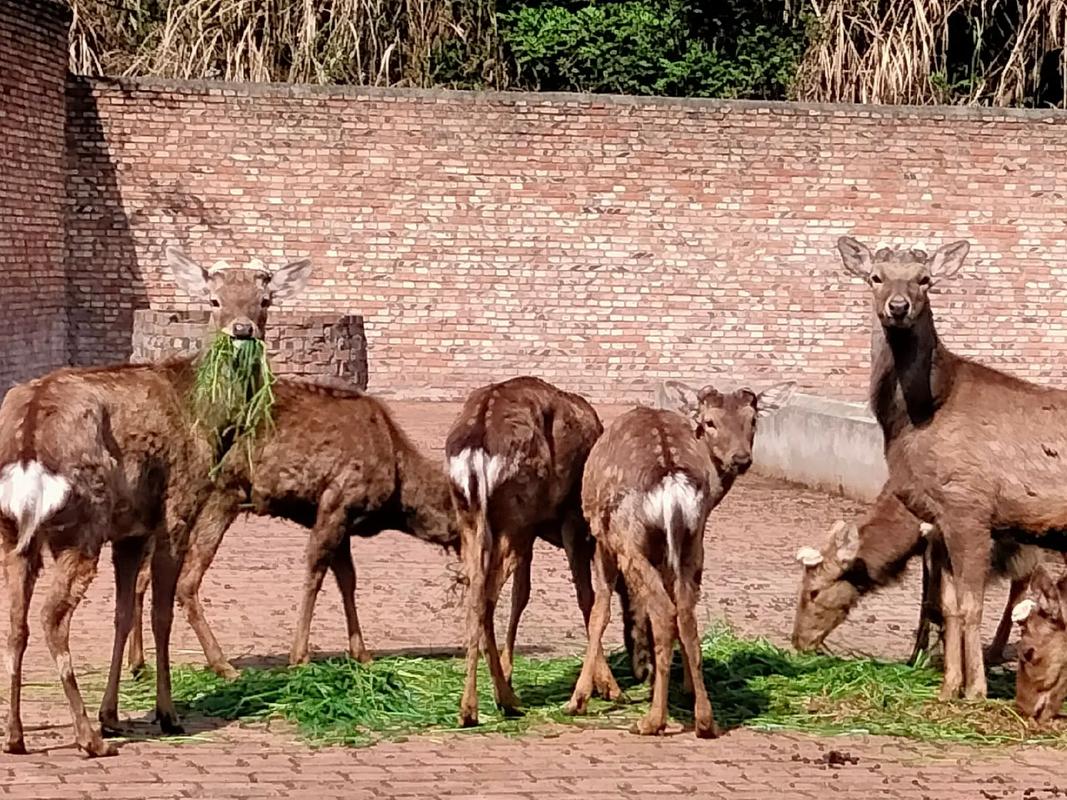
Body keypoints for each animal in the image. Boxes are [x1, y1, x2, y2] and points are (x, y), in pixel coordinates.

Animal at [0, 246, 311, 757]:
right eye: (213, 300)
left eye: (264, 300)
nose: (241, 330)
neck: (207, 413)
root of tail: (28, 438)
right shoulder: (176, 506)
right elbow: (161, 611)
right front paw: (166, 714)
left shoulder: (131, 530)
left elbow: (124, 613)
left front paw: (112, 715)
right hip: (81, 522)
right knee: (51, 617)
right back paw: (87, 738)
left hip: (15, 532)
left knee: (17, 623)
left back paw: (17, 735)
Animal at [446, 376, 603, 728]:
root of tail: (477, 449)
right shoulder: (572, 519)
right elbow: (586, 598)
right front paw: (605, 687)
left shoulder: (532, 534)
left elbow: (522, 594)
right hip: (515, 514)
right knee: (486, 596)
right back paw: (500, 701)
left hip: (473, 517)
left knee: (475, 593)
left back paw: (476, 706)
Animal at [566, 380, 795, 737]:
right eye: (710, 421)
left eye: (753, 420)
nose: (741, 459)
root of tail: (670, 478)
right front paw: (675, 684)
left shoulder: (603, 539)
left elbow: (599, 610)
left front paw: (580, 698)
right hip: (692, 542)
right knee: (686, 614)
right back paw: (703, 718)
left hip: (629, 539)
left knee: (663, 612)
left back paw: (651, 720)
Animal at [837, 234, 1067, 700]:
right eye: (876, 277)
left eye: (925, 279)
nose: (899, 306)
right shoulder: (938, 519)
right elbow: (946, 605)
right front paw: (948, 687)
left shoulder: (970, 507)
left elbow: (971, 604)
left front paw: (976, 690)